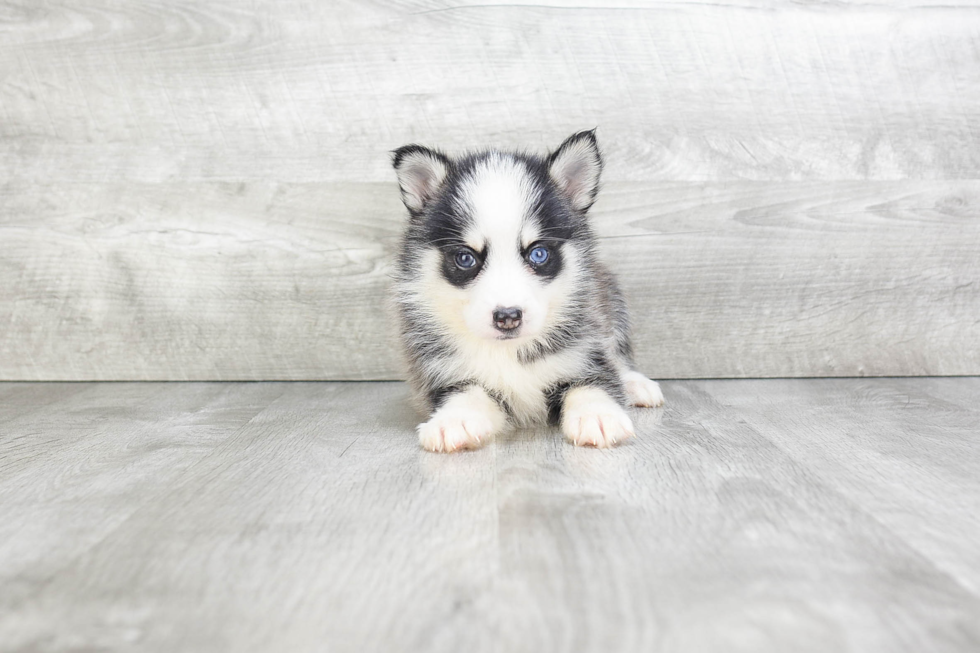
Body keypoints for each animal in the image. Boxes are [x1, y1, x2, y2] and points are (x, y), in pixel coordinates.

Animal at [392, 130, 668, 450]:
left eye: (538, 254)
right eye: (465, 258)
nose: (508, 317)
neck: (509, 351)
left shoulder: (587, 350)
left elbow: (591, 382)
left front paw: (597, 415)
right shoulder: (443, 371)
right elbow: (467, 391)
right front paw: (455, 420)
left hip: (612, 300)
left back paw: (636, 384)